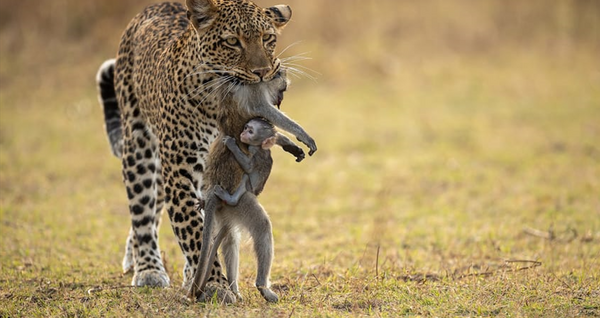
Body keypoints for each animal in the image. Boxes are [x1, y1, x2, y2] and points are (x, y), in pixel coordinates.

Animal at [93, 0, 296, 304]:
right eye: (232, 42)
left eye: (268, 38)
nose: (263, 71)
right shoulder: (179, 170)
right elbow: (193, 229)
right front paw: (214, 284)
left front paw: (204, 279)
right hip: (140, 146)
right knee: (142, 210)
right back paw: (148, 268)